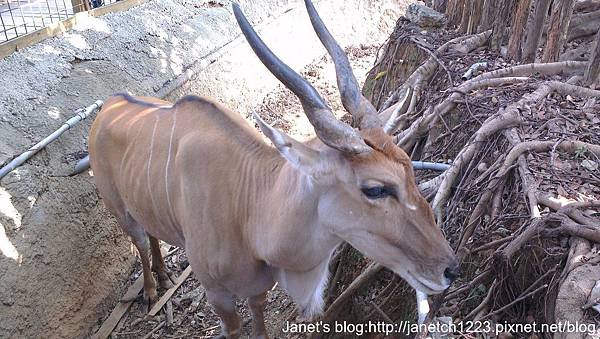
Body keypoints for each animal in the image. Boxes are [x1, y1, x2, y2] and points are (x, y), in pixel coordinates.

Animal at [86, 1, 458, 338]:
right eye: (376, 188)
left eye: (410, 169)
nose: (449, 270)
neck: (251, 209)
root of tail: (108, 106)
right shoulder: (216, 294)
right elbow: (235, 327)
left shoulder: (258, 288)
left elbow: (259, 317)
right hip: (118, 209)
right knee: (138, 240)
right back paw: (151, 290)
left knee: (150, 232)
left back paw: (164, 277)